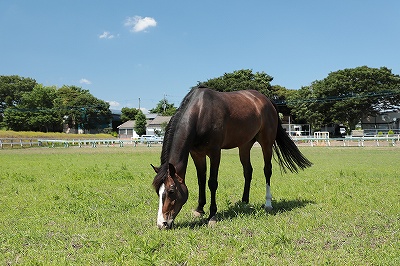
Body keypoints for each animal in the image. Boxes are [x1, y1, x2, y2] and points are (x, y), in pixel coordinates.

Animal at [152, 87, 310, 229]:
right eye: (158, 192)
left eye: (171, 192)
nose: (162, 224)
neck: (200, 113)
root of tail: (267, 100)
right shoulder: (197, 153)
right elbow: (201, 180)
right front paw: (199, 209)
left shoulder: (215, 152)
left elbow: (212, 183)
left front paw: (212, 216)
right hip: (244, 145)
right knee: (248, 171)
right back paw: (244, 201)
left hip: (266, 142)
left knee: (267, 170)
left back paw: (268, 204)